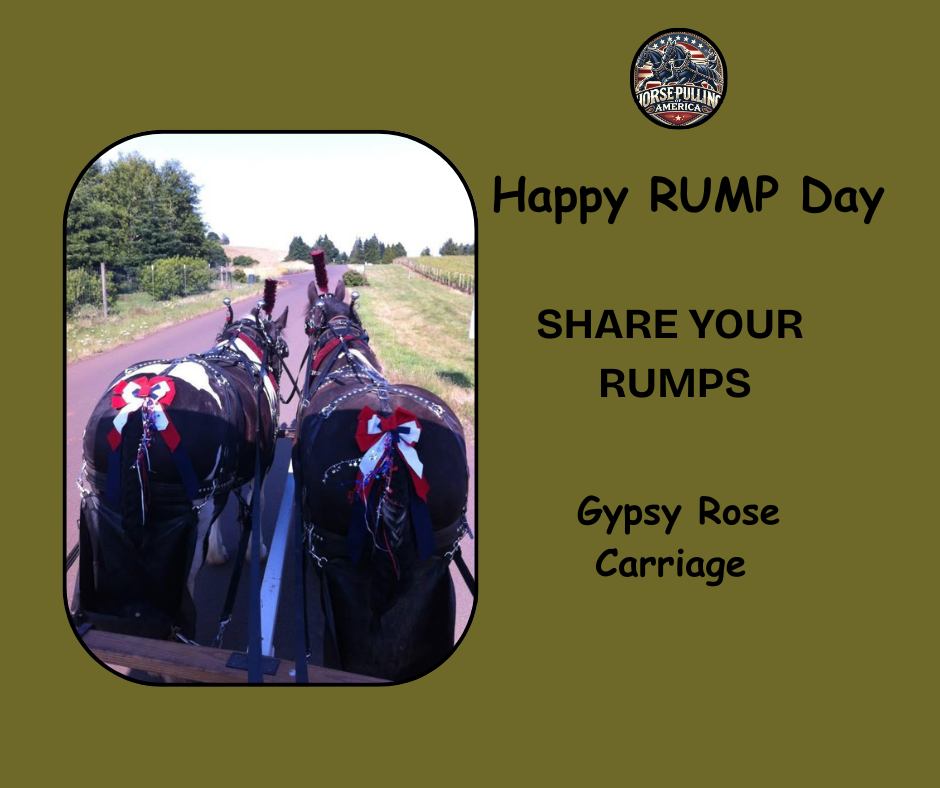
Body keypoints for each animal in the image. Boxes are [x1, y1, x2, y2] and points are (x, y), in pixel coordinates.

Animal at [74, 292, 289, 644]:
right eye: (283, 348)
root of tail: (144, 406)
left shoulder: (218, 484)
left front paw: (217, 550)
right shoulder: (255, 472)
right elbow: (254, 506)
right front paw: (253, 550)